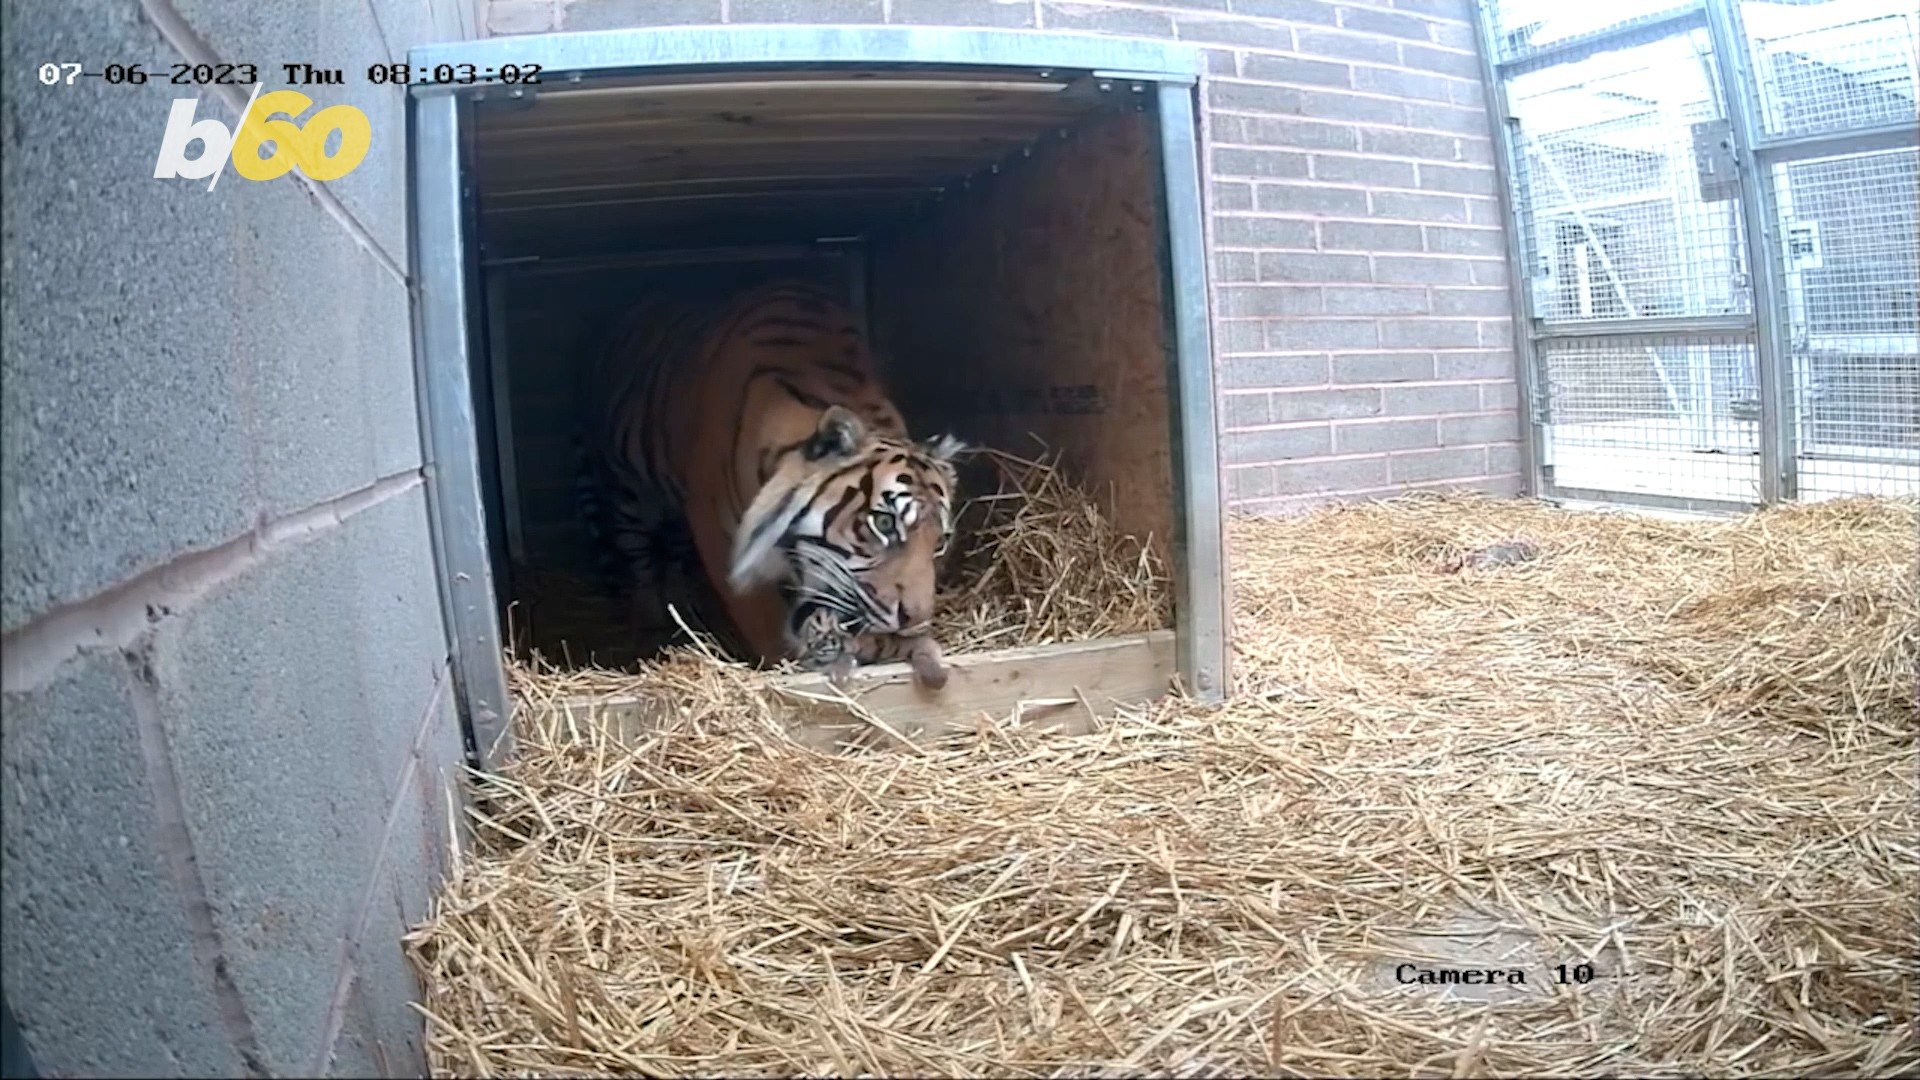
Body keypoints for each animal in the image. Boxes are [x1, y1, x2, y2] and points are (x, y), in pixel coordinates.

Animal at [568, 276, 960, 680]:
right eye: (883, 524)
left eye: (940, 541)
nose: (916, 620)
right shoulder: (722, 541)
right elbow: (765, 621)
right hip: (628, 489)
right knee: (638, 557)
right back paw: (651, 623)